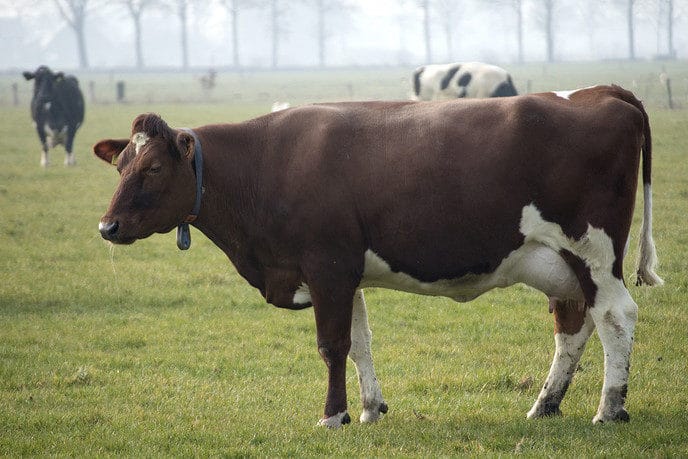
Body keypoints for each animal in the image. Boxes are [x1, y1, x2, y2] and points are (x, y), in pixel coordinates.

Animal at [94, 85, 662, 428]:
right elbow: (359, 343)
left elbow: (332, 345)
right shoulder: (344, 273)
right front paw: (369, 409)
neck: (265, 165)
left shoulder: (325, 266)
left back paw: (610, 408)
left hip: (592, 251)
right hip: (562, 264)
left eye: (153, 169)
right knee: (574, 324)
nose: (107, 226)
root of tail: (598, 92)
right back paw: (545, 404)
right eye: (121, 165)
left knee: (616, 316)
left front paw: (332, 416)